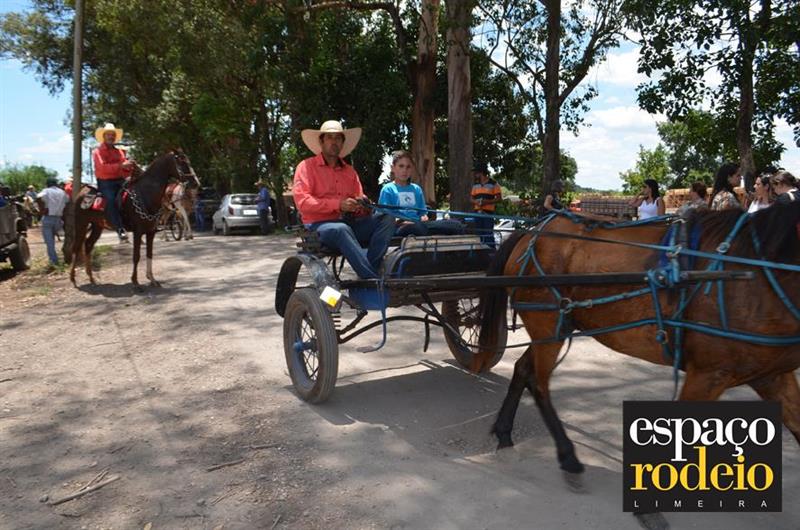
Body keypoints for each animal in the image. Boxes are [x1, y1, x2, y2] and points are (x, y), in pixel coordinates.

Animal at [69, 150, 196, 288]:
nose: (195, 183)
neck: (145, 194)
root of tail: (82, 191)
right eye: (182, 162)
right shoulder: (138, 232)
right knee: (76, 247)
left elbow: (149, 254)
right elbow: (136, 256)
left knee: (88, 245)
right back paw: (73, 279)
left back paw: (92, 278)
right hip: (81, 224)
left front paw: (152, 279)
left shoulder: (150, 232)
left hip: (98, 226)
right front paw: (135, 282)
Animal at [473, 203, 800, 480]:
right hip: (547, 324)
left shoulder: (772, 375)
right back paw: (567, 455)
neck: (754, 275)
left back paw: (504, 433)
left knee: (523, 370)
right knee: (539, 383)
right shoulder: (709, 374)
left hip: (555, 328)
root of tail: (533, 231)